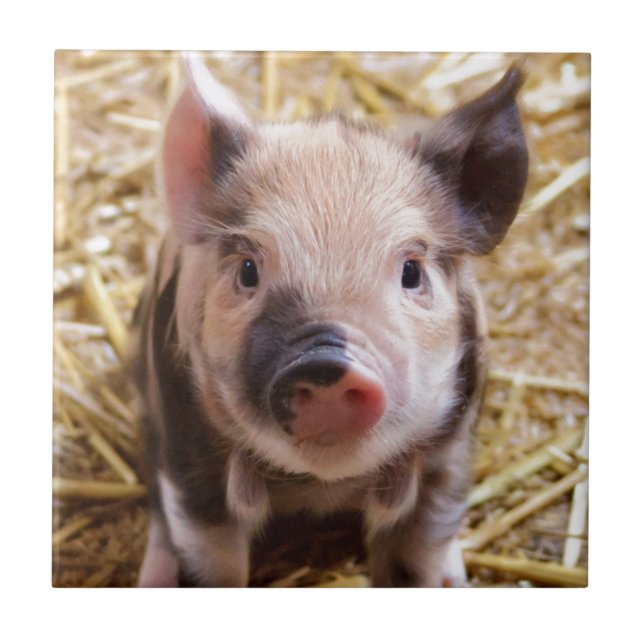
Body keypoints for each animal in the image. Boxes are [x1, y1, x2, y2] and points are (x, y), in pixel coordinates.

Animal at [131, 54, 528, 587]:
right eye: (248, 270)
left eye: (411, 271)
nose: (325, 362)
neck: (321, 487)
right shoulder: (188, 450)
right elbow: (211, 561)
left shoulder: (450, 453)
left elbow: (416, 557)